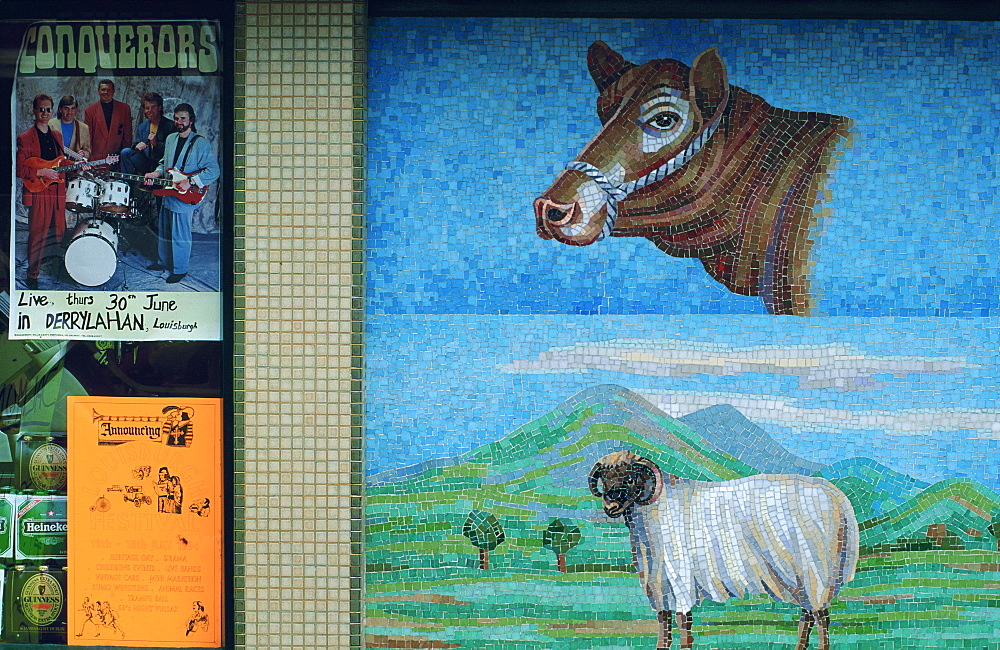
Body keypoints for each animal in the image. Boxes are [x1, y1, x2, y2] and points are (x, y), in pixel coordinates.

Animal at [584, 450, 860, 648]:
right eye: (604, 479)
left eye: (631, 478)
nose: (610, 508)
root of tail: (835, 495)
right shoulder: (658, 584)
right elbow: (664, 624)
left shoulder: (680, 577)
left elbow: (683, 621)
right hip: (802, 575)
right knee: (808, 614)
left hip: (816, 568)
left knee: (821, 615)